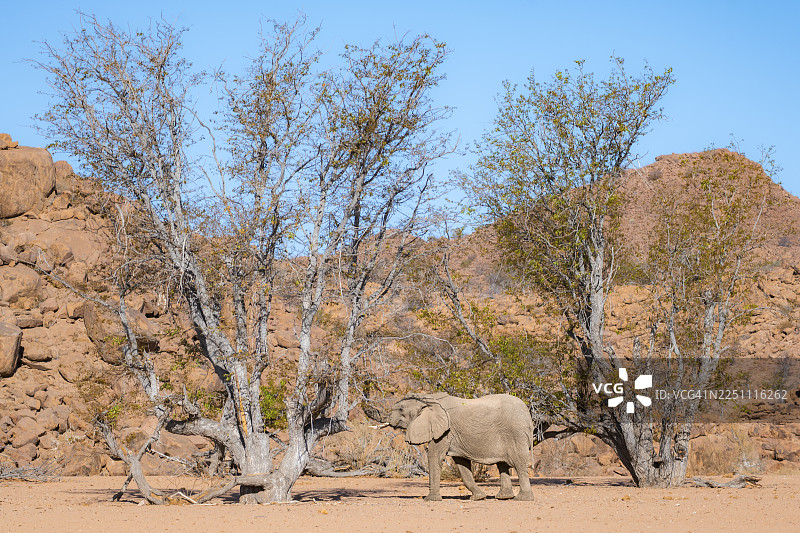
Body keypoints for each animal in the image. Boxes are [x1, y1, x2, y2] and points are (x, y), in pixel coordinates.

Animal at [387, 392, 535, 501]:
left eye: (401, 409)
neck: (427, 398)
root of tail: (527, 413)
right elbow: (462, 464)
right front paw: (478, 498)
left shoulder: (444, 431)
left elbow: (435, 456)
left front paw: (430, 500)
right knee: (502, 464)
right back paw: (504, 497)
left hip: (515, 432)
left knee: (519, 463)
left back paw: (522, 499)